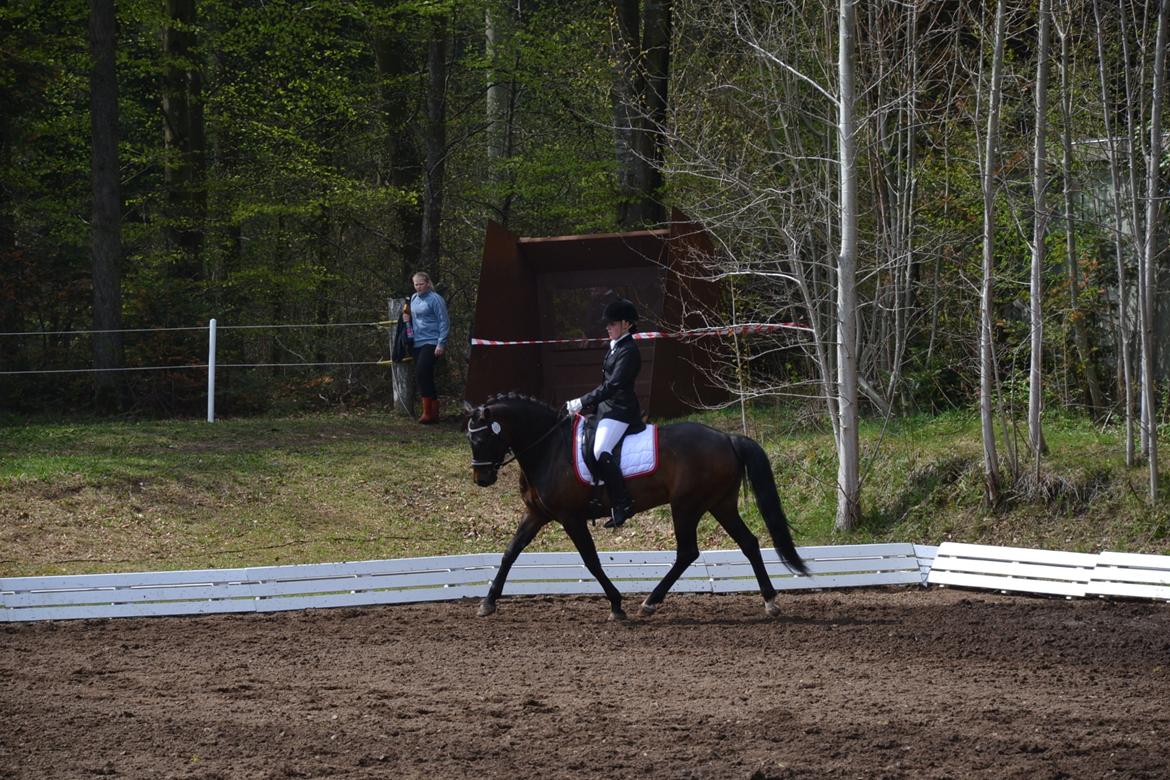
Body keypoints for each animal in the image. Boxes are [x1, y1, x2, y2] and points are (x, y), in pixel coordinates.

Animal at [463, 393, 807, 620]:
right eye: (471, 441)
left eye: (480, 440)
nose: (482, 478)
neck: (548, 448)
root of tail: (727, 437)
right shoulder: (537, 514)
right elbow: (510, 553)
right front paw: (488, 602)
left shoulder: (570, 517)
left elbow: (591, 561)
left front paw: (616, 604)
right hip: (719, 504)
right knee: (748, 543)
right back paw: (771, 602)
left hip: (686, 506)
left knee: (687, 552)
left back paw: (650, 603)